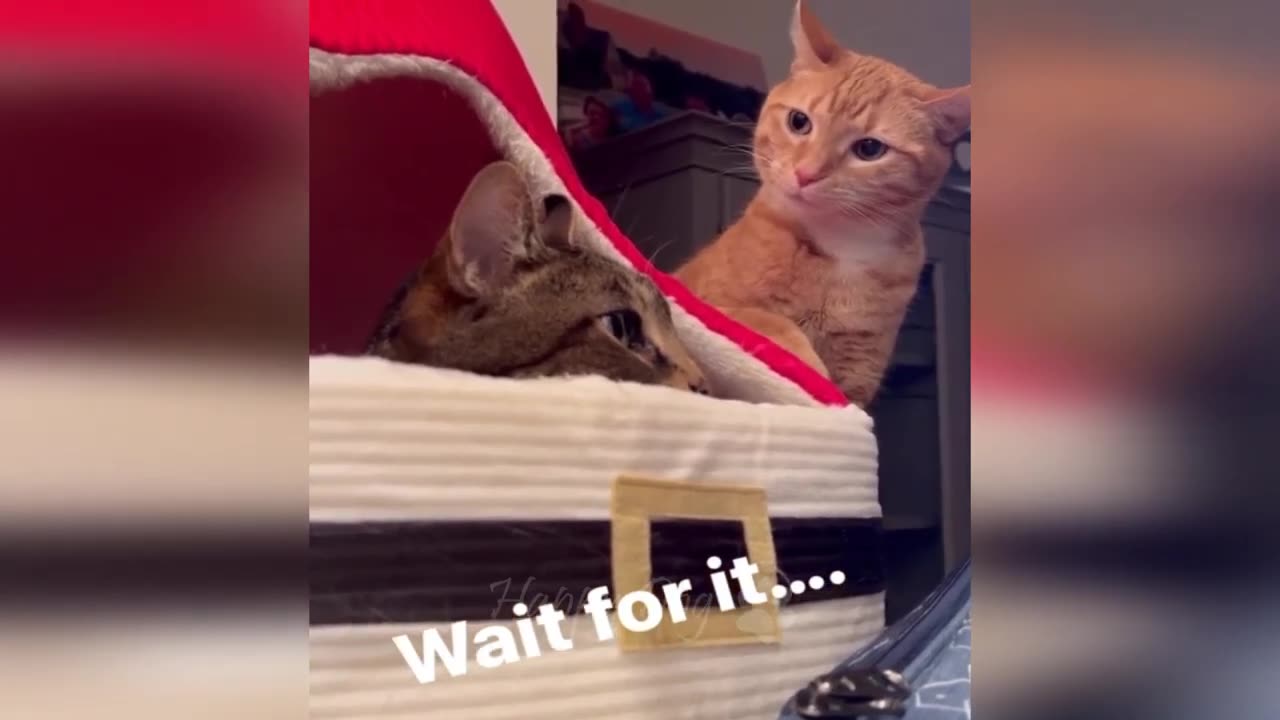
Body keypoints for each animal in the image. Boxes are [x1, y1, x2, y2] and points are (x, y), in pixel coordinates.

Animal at [677, 0, 969, 408]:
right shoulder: (712, 305)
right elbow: (772, 323)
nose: (806, 174)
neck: (840, 249)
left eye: (869, 149)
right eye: (799, 122)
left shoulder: (860, 368)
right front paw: (807, 367)